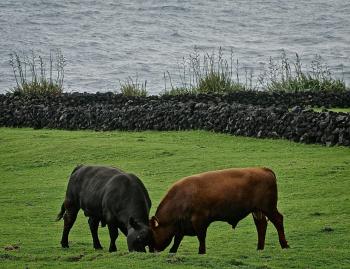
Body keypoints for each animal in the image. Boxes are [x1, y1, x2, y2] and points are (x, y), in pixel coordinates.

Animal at [150, 166, 290, 252]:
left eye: (152, 233)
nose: (152, 250)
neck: (182, 197)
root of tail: (262, 169)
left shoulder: (199, 221)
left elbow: (201, 238)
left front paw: (202, 253)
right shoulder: (182, 225)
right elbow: (177, 240)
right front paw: (172, 251)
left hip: (269, 208)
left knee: (278, 220)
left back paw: (285, 245)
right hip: (257, 210)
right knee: (261, 225)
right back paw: (259, 248)